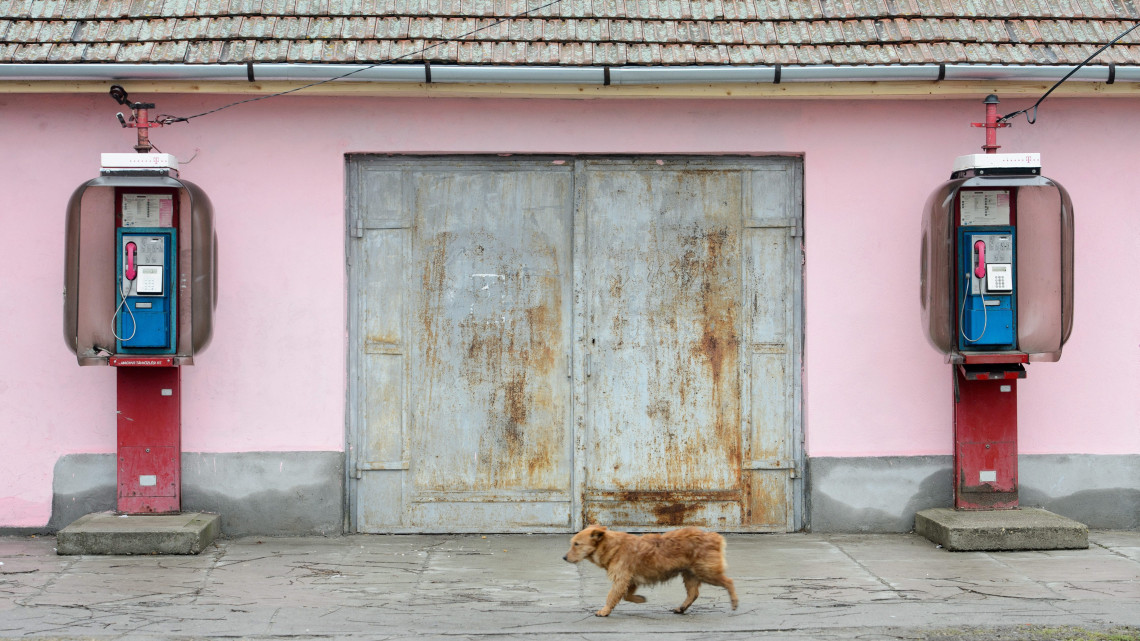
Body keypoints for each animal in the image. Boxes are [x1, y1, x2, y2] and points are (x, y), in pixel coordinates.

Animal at [560, 524, 738, 615]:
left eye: (576, 544)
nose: (564, 558)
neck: (612, 546)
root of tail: (714, 536)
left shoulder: (621, 579)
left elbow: (612, 596)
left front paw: (604, 611)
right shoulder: (630, 580)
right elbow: (627, 596)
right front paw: (640, 599)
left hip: (706, 572)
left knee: (729, 581)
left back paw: (734, 601)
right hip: (689, 574)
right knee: (693, 593)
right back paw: (681, 608)